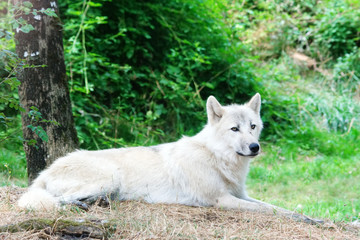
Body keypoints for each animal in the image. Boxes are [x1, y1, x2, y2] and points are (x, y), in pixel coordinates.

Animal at [18, 94, 318, 223]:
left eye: (253, 126)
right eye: (235, 129)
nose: (255, 147)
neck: (216, 158)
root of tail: (46, 171)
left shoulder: (242, 196)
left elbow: (277, 207)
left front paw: (313, 217)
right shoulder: (223, 201)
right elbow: (275, 211)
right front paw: (310, 220)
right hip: (108, 178)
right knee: (58, 201)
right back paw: (83, 207)